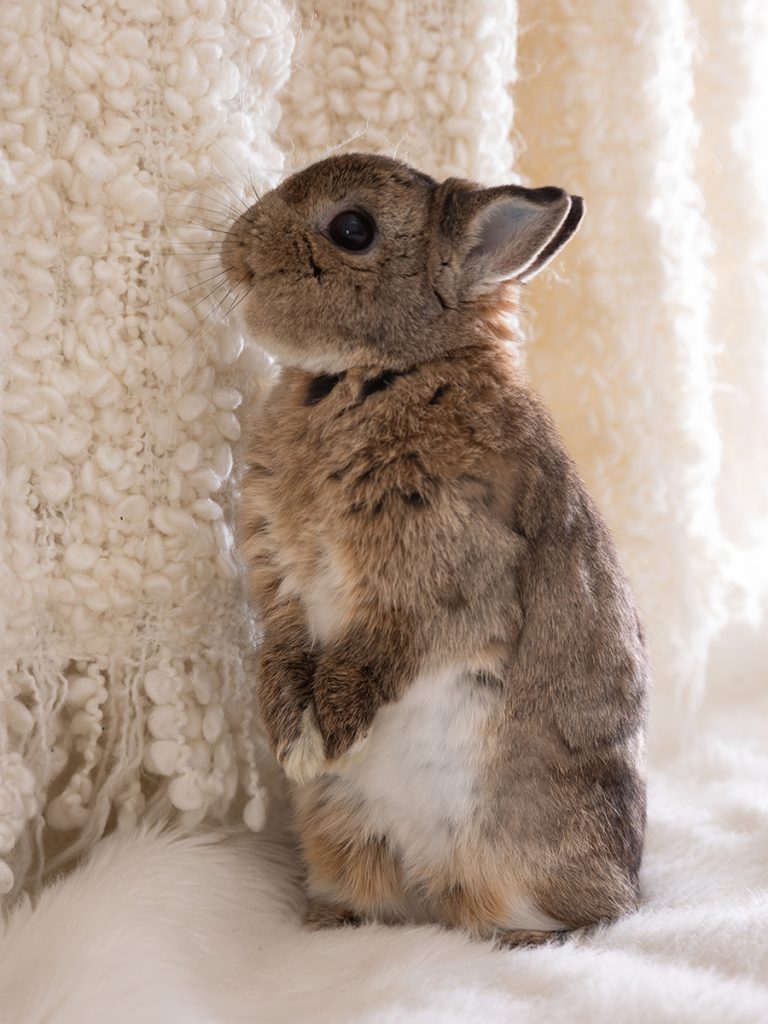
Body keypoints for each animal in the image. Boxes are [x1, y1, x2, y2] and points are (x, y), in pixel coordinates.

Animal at [224, 153, 651, 950]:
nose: (236, 249)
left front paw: (327, 738)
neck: (383, 370)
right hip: (341, 834)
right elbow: (284, 654)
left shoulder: (438, 584)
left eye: (351, 229)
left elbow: (372, 656)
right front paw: (294, 744)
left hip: (519, 854)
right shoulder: (283, 587)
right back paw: (334, 920)